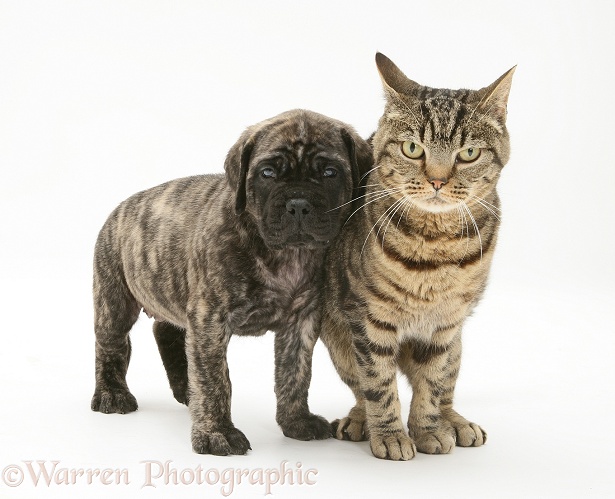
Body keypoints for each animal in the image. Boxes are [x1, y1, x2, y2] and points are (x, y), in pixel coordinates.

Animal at [91, 109, 370, 458]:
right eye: (267, 173)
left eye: (330, 172)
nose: (298, 204)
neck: (286, 255)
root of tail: (120, 207)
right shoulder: (210, 320)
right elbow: (215, 380)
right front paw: (217, 433)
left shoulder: (301, 322)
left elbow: (295, 374)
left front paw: (296, 421)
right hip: (114, 300)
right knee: (110, 346)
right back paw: (112, 394)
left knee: (166, 331)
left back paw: (185, 389)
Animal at [322, 53, 516, 460]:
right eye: (413, 149)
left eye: (469, 153)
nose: (437, 181)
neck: (433, 249)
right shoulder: (369, 319)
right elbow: (378, 385)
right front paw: (391, 435)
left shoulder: (444, 326)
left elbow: (432, 383)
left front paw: (427, 430)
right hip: (336, 335)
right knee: (359, 388)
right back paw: (360, 420)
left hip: (458, 342)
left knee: (447, 387)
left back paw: (455, 422)